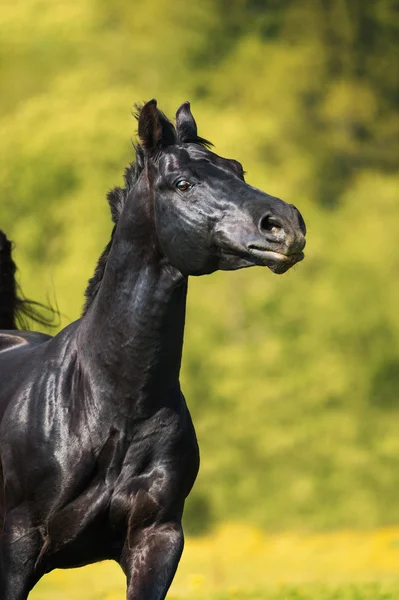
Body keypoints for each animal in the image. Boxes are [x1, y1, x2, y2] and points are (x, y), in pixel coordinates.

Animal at [0, 101, 306, 596]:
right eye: (182, 183)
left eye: (237, 169)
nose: (287, 226)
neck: (110, 408)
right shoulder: (17, 544)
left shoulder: (156, 539)